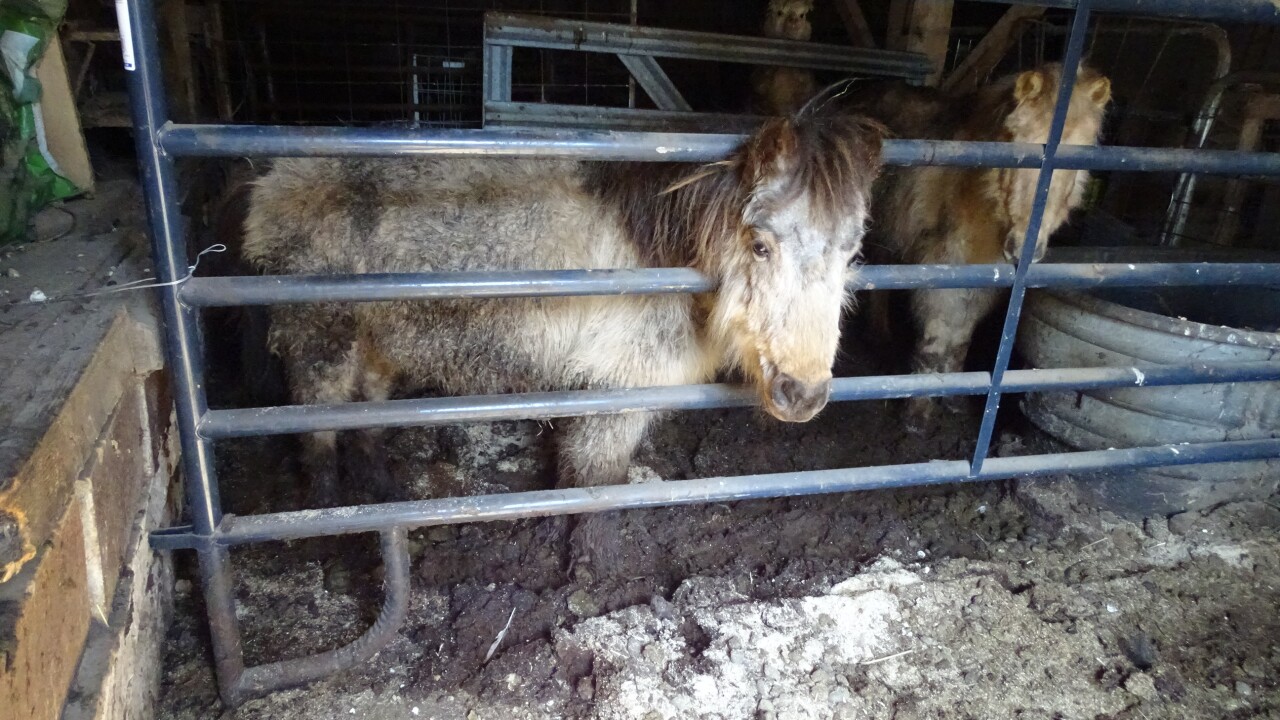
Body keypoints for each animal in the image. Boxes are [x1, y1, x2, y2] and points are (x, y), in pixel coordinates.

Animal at [839, 61, 1111, 427]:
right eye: (1017, 144)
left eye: (1079, 156)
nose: (1024, 248)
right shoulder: (944, 267)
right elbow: (937, 337)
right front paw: (918, 412)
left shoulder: (984, 278)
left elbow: (960, 339)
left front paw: (956, 396)